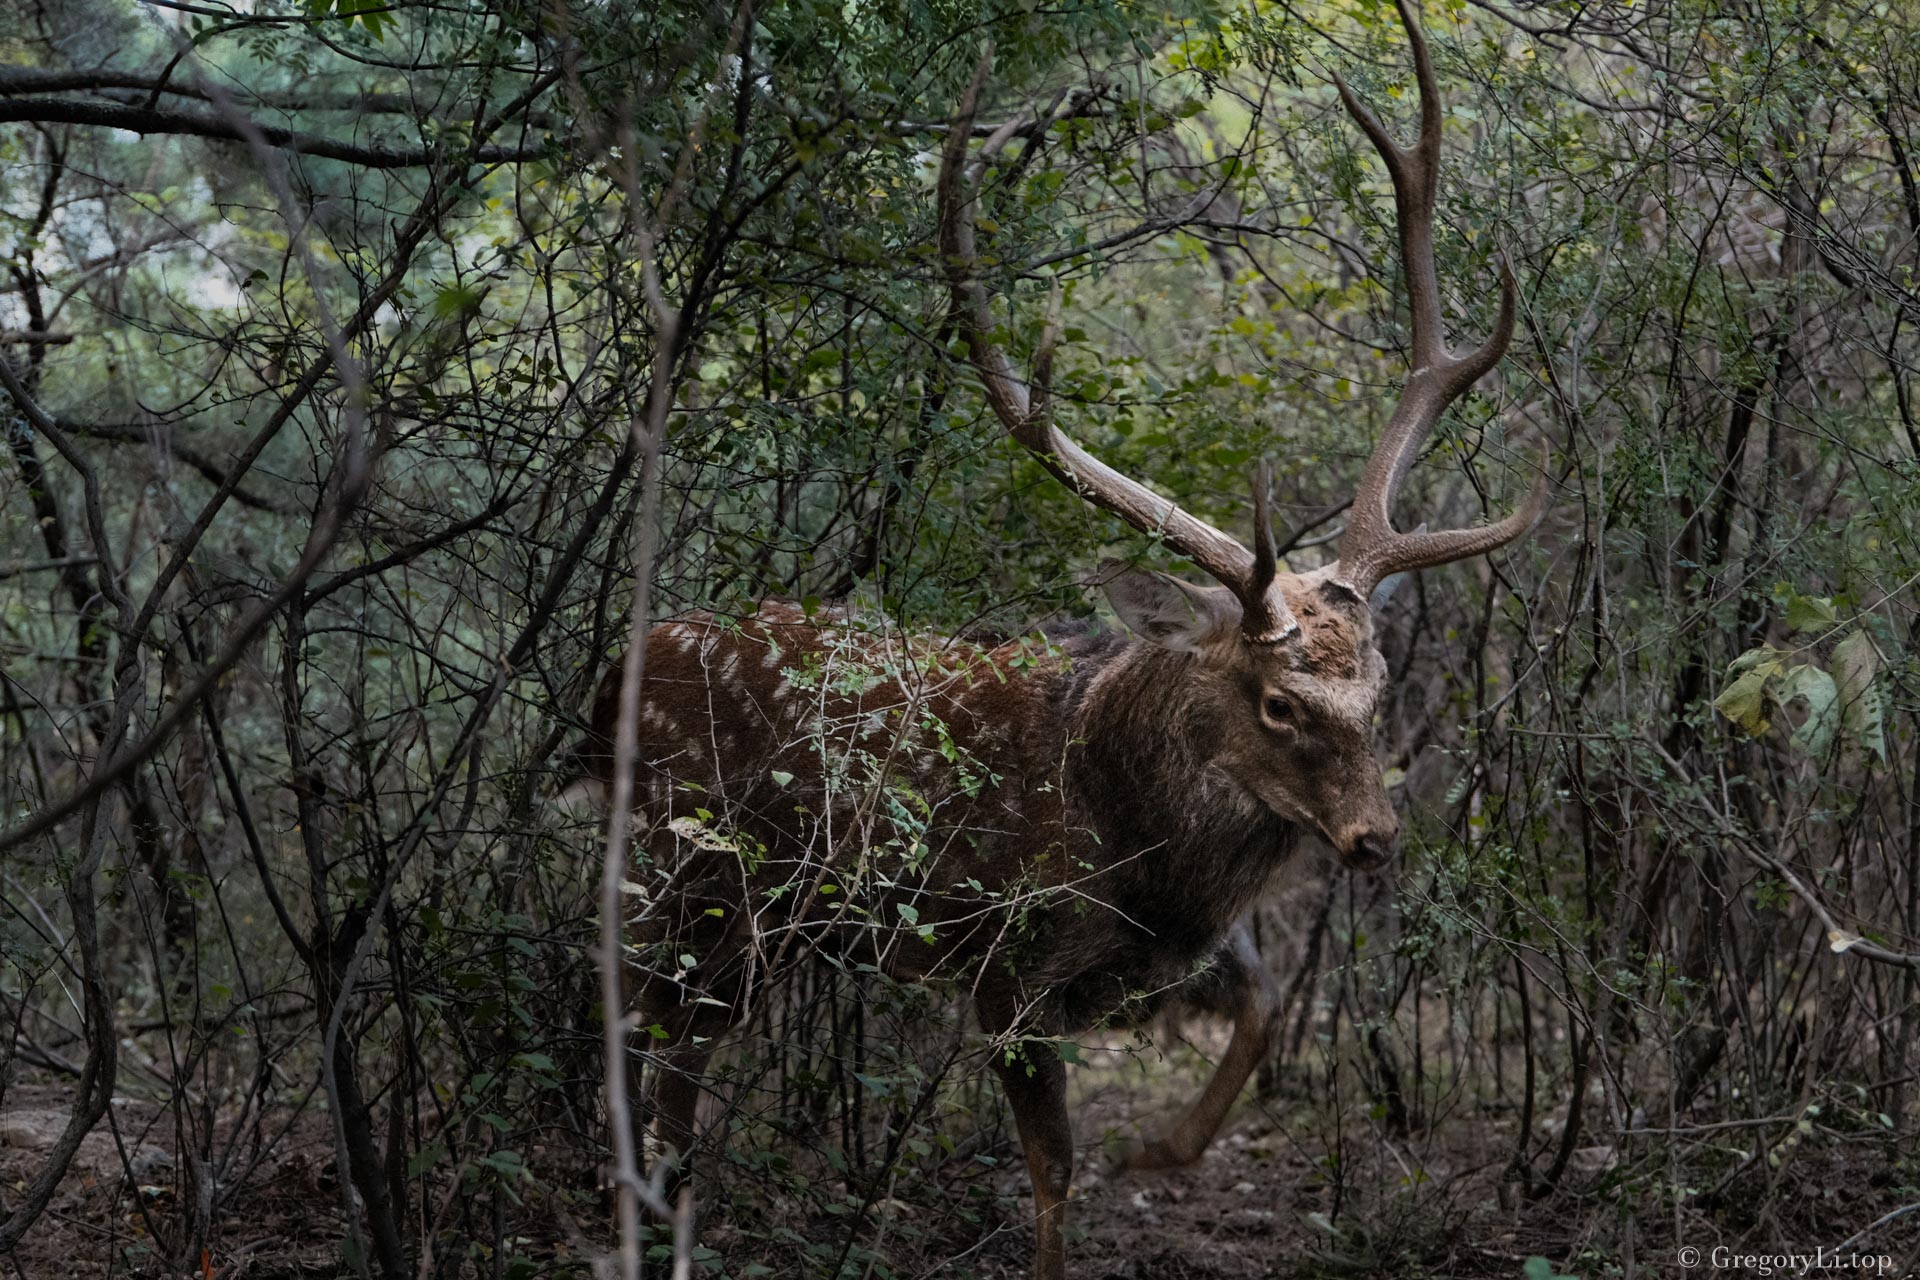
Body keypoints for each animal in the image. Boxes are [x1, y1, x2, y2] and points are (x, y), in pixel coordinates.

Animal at [576, 5, 1551, 1274]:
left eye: (1379, 689)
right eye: (1277, 700)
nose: (1375, 836)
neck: (1137, 846)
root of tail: (611, 676)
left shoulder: (1184, 950)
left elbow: (1259, 1009)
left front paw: (1163, 1146)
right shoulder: (1003, 958)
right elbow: (1052, 1170)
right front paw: (1107, 1175)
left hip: (757, 923)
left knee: (681, 1060)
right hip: (682, 870)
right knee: (636, 1035)